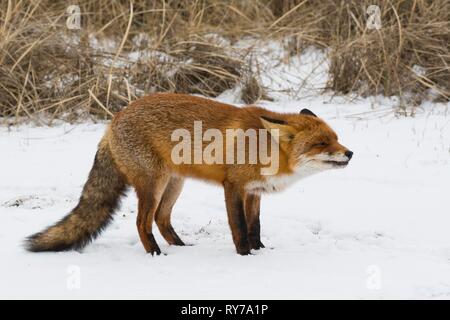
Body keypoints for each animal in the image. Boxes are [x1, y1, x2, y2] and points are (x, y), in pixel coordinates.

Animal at [26, 92, 354, 255]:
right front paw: (246, 256)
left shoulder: (254, 192)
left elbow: (255, 226)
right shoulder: (233, 186)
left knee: (161, 219)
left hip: (174, 184)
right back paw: (156, 255)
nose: (350, 153)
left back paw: (181, 248)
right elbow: (239, 227)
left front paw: (261, 251)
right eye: (321, 143)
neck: (266, 149)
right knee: (142, 222)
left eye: (337, 138)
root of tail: (113, 120)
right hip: (154, 184)